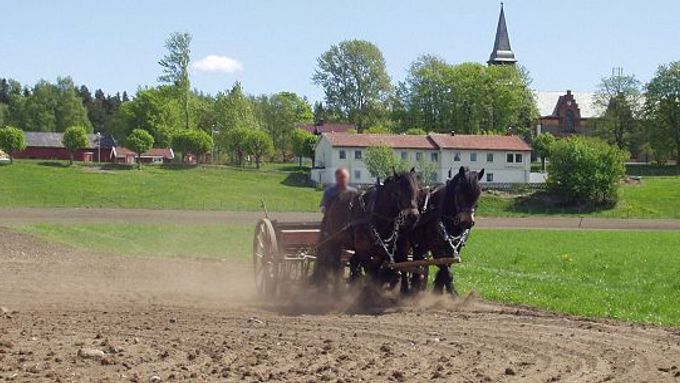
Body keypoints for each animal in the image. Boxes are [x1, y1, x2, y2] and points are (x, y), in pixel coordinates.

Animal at [394, 166, 484, 296]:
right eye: (459, 192)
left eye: (478, 193)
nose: (467, 222)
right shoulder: (436, 248)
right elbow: (446, 271)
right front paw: (453, 295)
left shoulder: (455, 248)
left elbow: (445, 269)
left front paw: (438, 292)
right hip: (403, 243)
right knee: (404, 265)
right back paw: (405, 290)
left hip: (419, 245)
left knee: (416, 264)